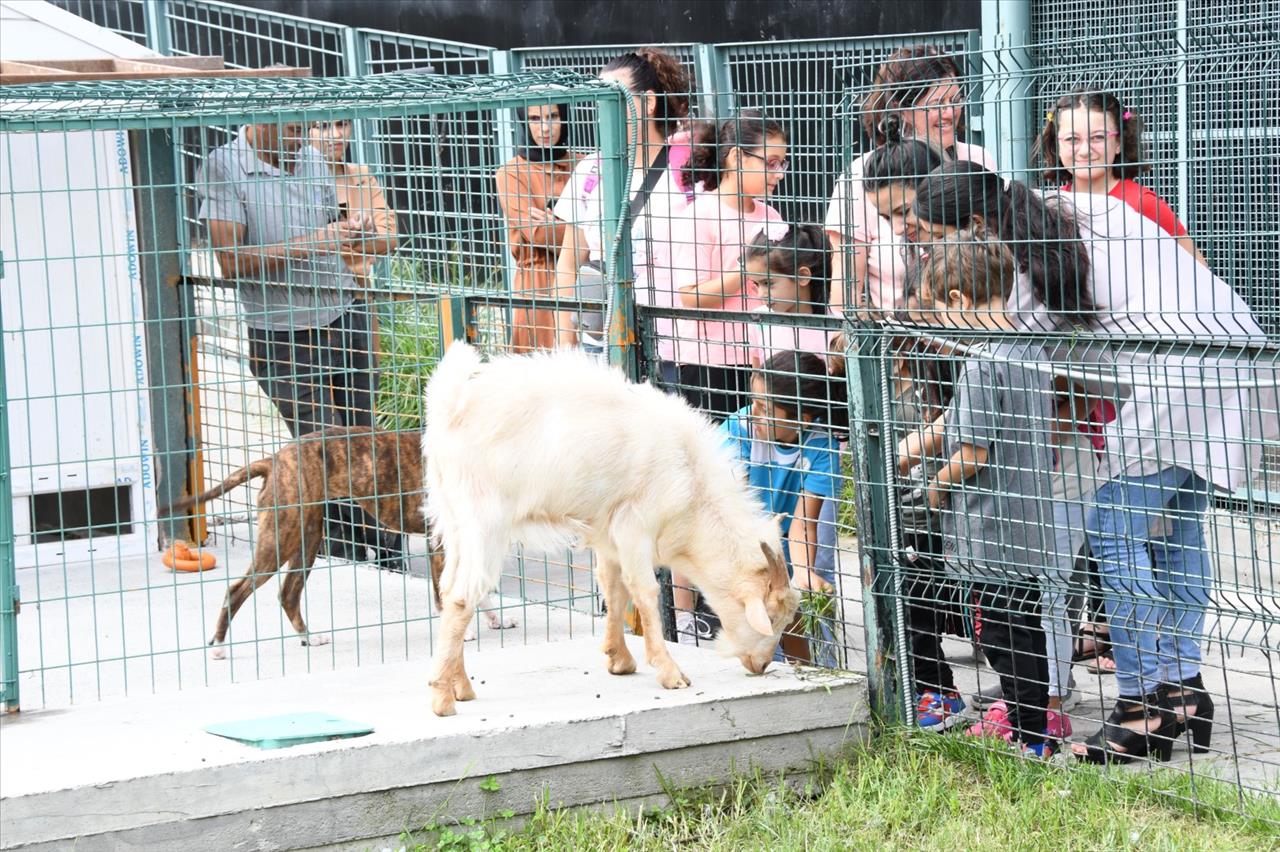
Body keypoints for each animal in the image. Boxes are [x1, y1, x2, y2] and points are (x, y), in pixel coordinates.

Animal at [424, 342, 793, 711]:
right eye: (772, 617)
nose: (761, 665)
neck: (691, 480)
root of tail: (450, 406)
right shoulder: (635, 527)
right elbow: (644, 591)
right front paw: (670, 672)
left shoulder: (608, 531)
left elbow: (613, 587)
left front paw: (620, 659)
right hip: (486, 524)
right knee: (462, 596)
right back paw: (443, 698)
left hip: (455, 523)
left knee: (448, 587)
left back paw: (461, 686)